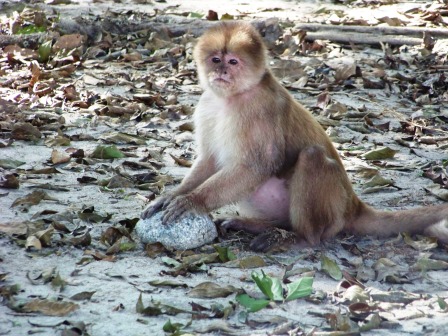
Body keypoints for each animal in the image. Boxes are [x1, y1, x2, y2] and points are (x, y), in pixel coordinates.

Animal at [142, 20, 448, 252]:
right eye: (215, 59)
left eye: (233, 61)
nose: (222, 71)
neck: (233, 97)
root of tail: (353, 204)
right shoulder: (206, 105)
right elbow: (209, 160)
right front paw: (173, 195)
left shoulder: (260, 108)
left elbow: (258, 166)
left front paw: (194, 201)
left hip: (335, 210)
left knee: (311, 157)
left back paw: (300, 237)